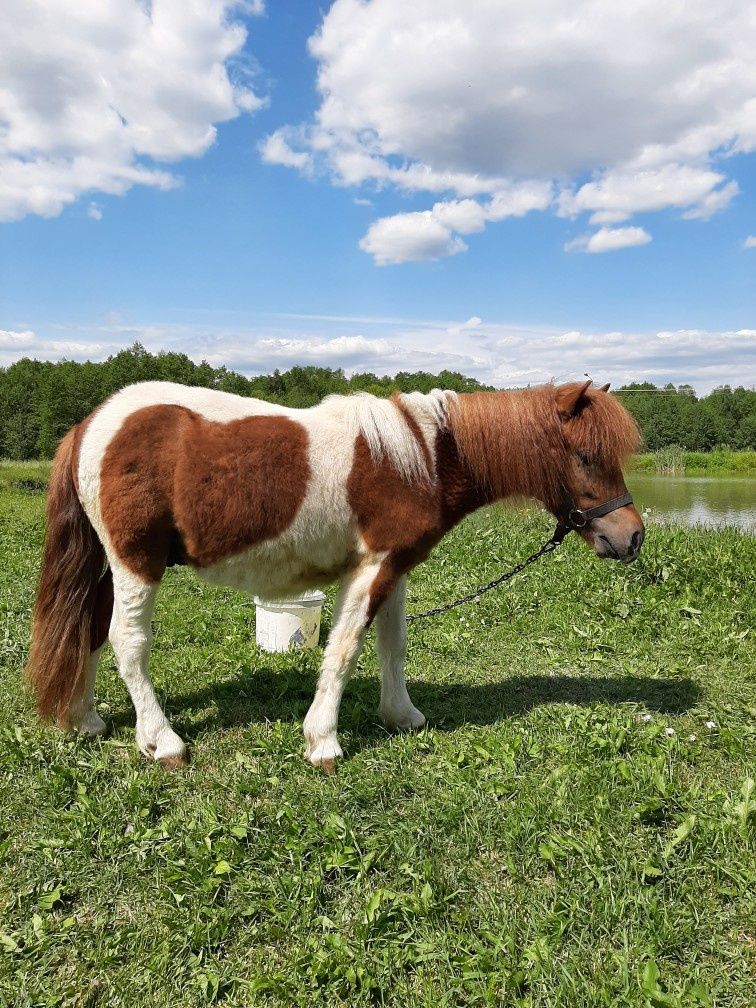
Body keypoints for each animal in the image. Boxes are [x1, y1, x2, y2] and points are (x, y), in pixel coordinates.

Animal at [28, 381, 645, 766]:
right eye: (586, 456)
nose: (632, 536)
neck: (421, 458)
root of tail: (90, 425)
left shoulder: (395, 566)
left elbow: (392, 645)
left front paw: (401, 715)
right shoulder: (371, 567)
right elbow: (345, 648)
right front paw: (322, 740)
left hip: (111, 568)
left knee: (88, 631)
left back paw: (85, 720)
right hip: (136, 563)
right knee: (127, 643)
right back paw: (163, 741)